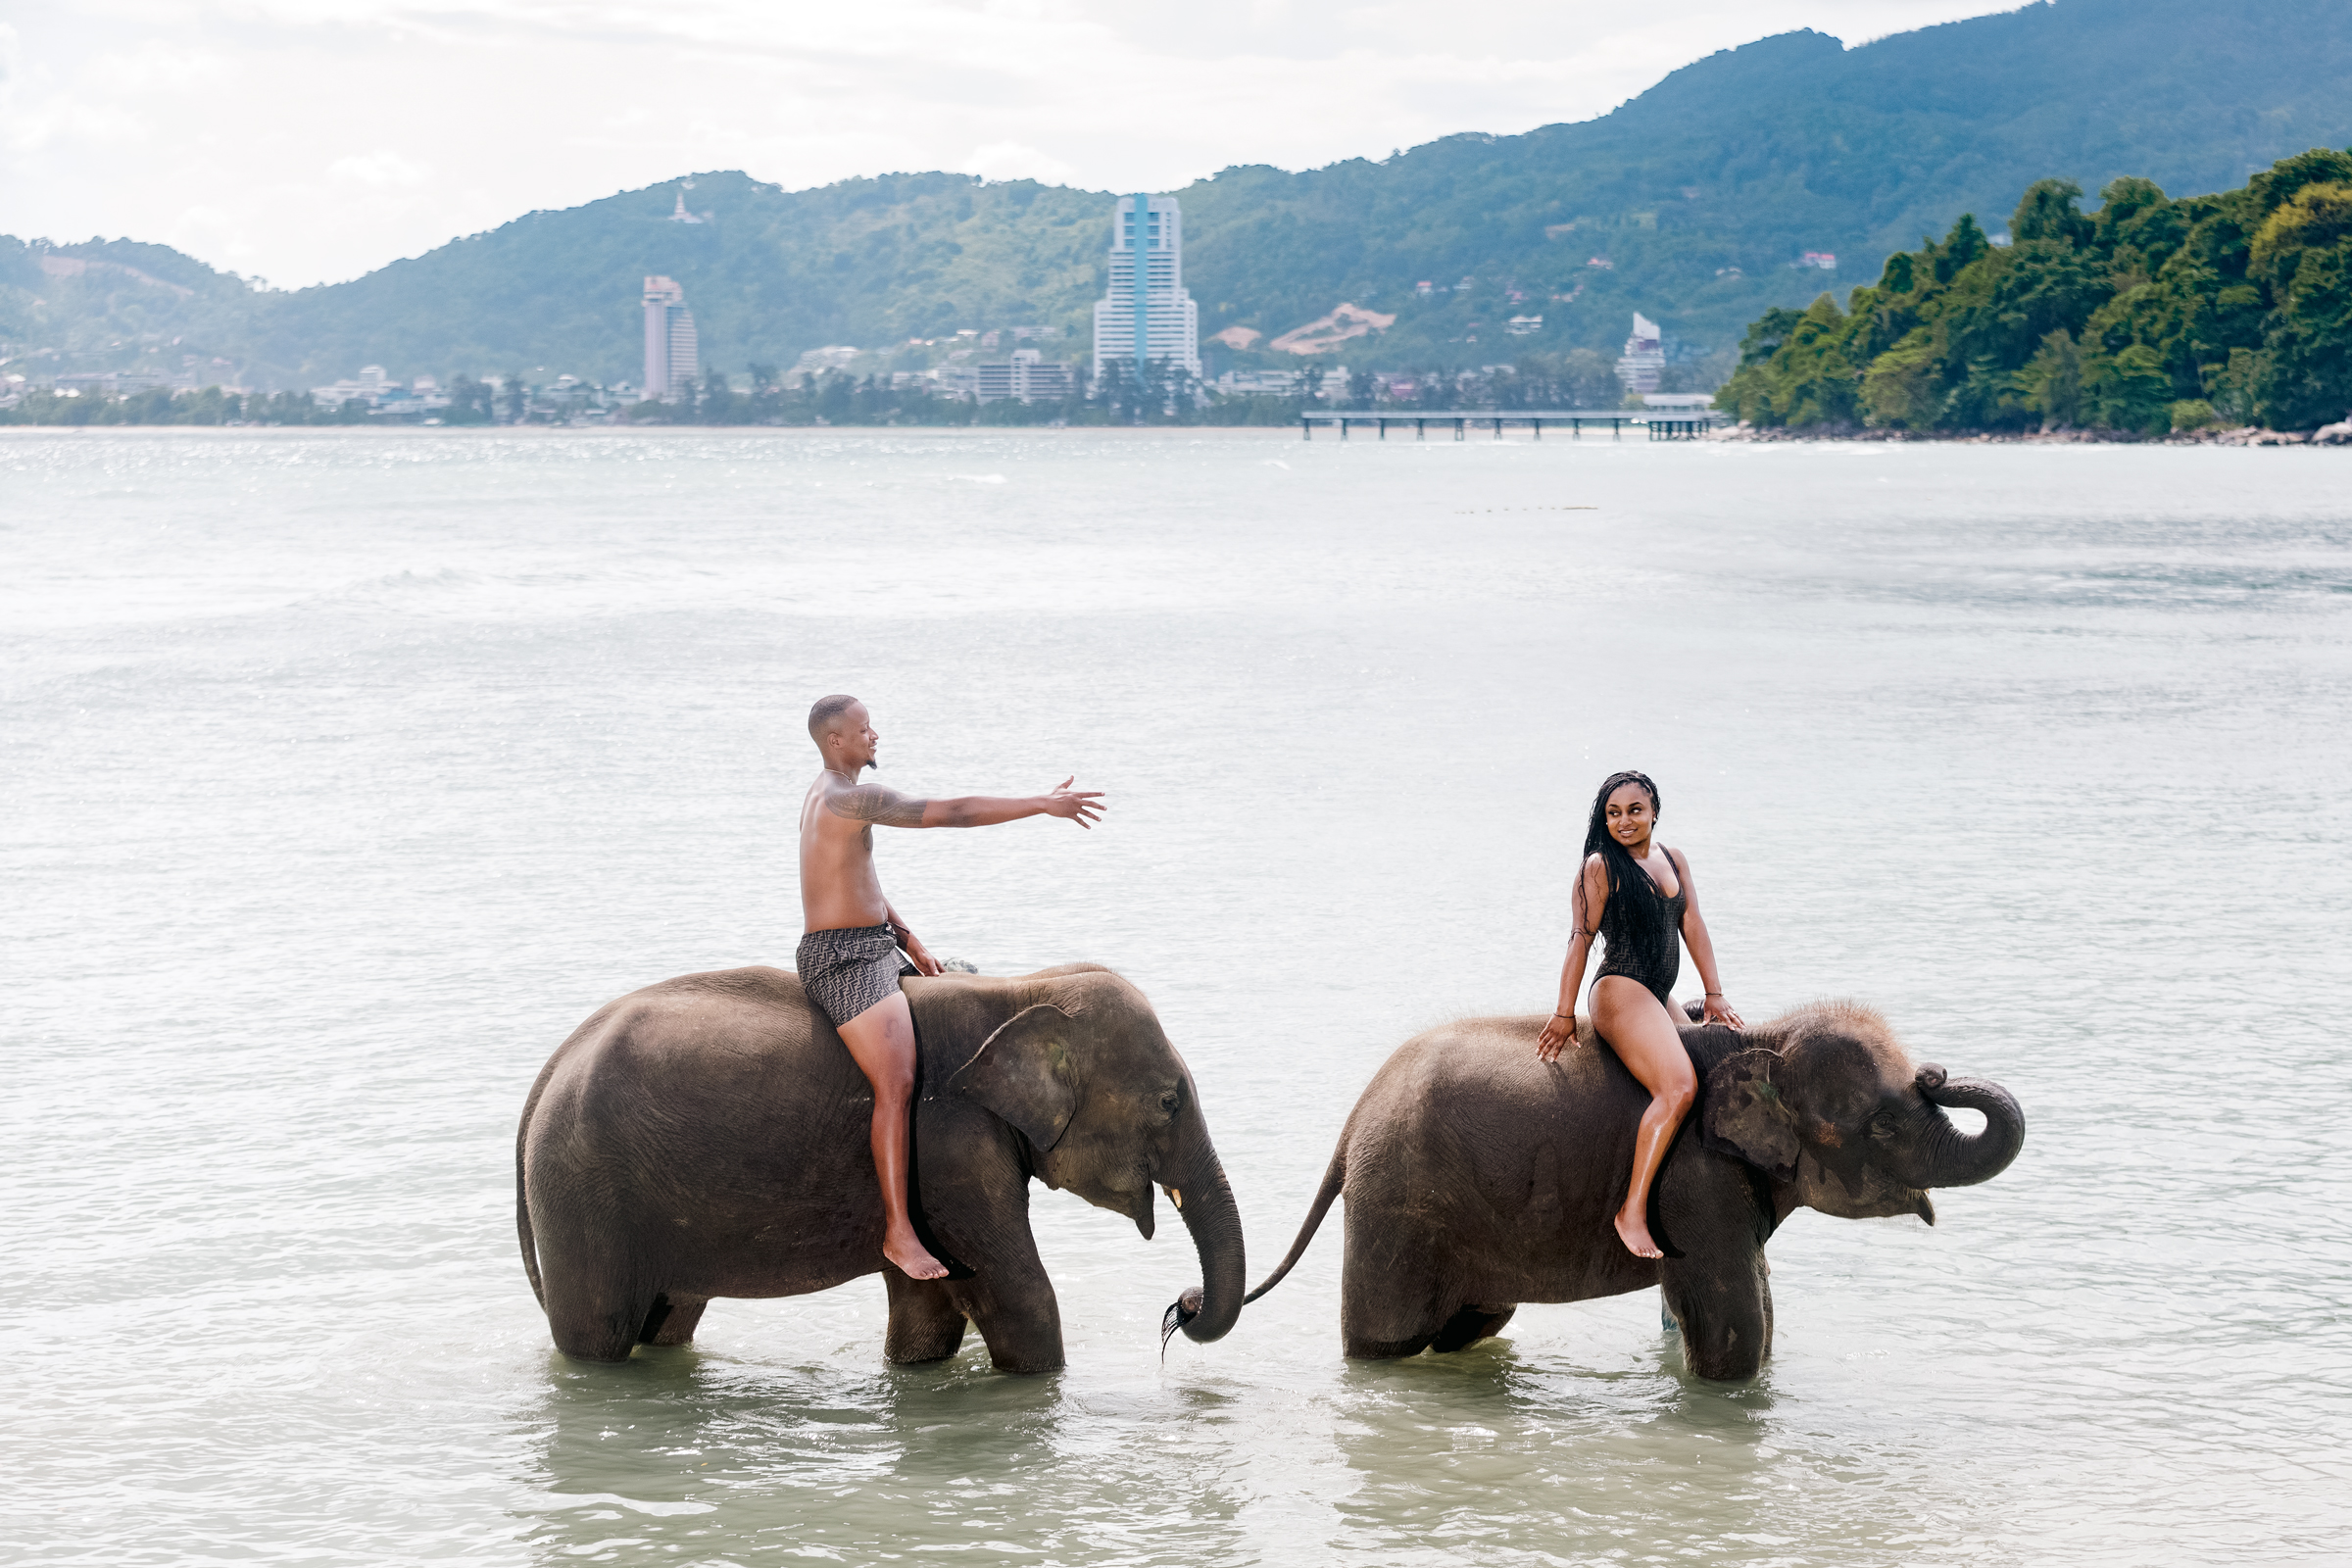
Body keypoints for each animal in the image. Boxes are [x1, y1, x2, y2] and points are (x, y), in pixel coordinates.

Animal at [515, 962, 1243, 1372]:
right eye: (1170, 1102)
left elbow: (928, 1312)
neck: (1025, 989)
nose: (1183, 1305)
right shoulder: (944, 1144)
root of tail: (551, 1068)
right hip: (581, 1191)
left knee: (667, 1321)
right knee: (600, 1335)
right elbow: (1021, 1301)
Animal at [1244, 1000, 2024, 1379]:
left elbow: (1764, 1304)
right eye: (1883, 1125)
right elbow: (1736, 1323)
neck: (1762, 1035)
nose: (1936, 1070)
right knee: (1387, 1341)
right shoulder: (1692, 1179)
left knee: (1474, 1323)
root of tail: (1351, 1126)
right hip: (1396, 1207)